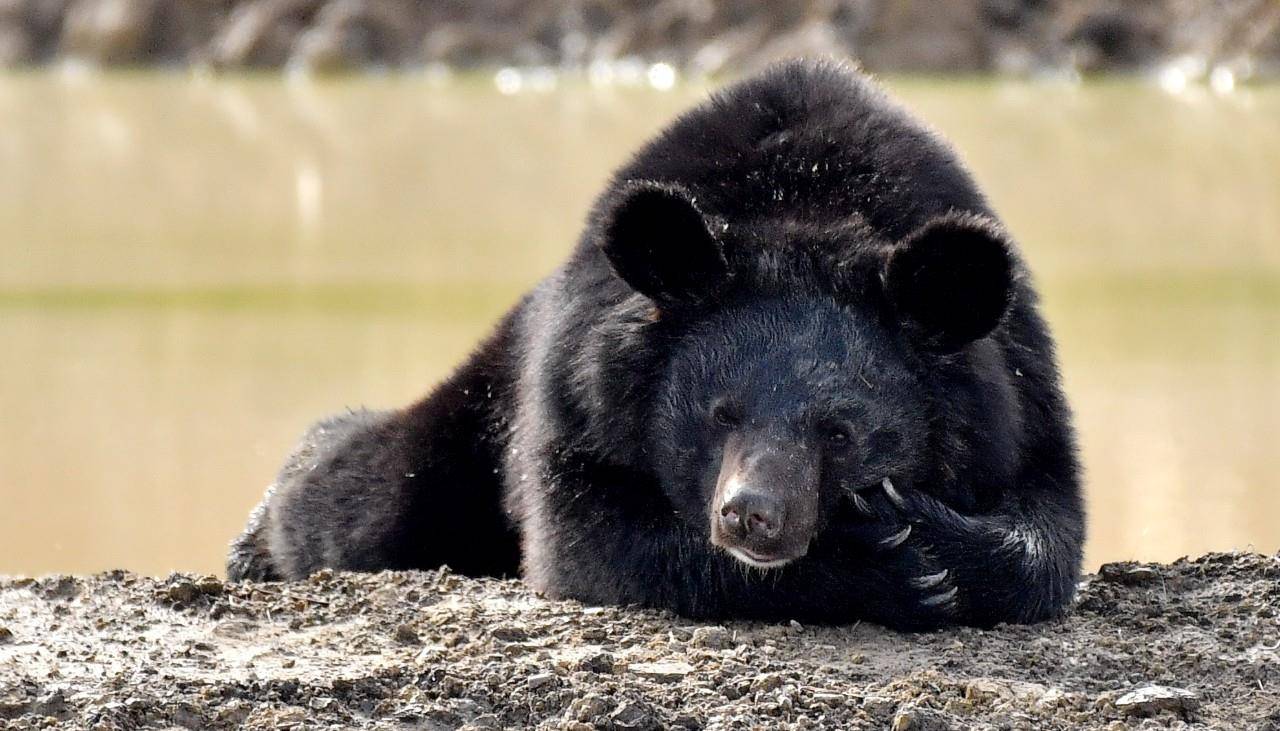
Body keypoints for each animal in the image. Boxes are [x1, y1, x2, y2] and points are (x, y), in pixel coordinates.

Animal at [227, 60, 1080, 632]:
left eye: (839, 431)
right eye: (719, 414)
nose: (751, 515)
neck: (807, 199)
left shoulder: (1021, 392)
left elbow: (1048, 530)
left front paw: (929, 542)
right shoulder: (572, 392)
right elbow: (597, 540)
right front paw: (891, 565)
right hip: (473, 416)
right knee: (364, 499)